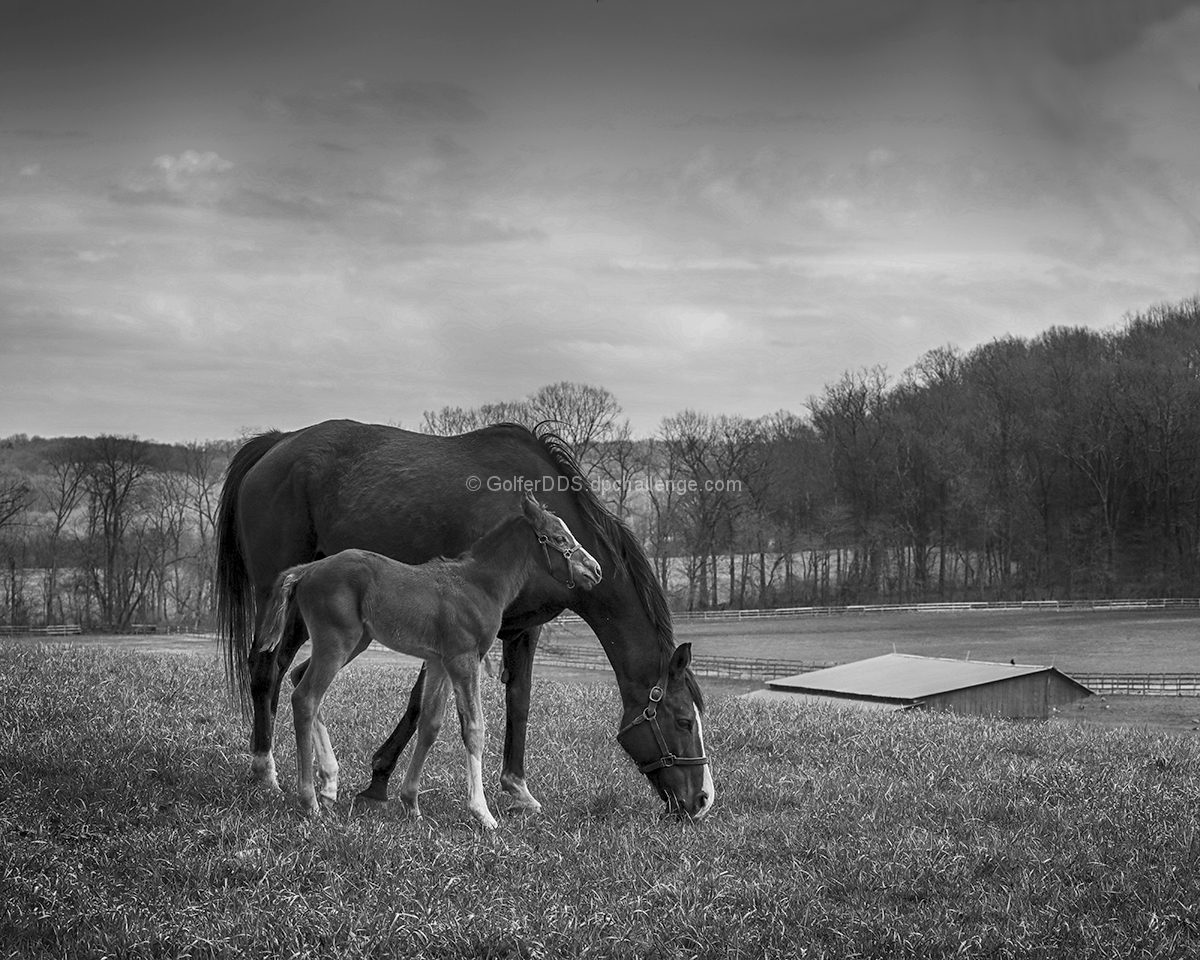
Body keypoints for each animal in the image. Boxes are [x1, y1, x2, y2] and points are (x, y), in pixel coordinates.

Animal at [216, 417, 710, 816]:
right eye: (684, 721)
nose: (702, 801)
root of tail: (277, 444)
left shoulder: (522, 628)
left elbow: (518, 702)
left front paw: (518, 789)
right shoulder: (454, 641)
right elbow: (422, 707)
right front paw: (379, 782)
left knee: (287, 675)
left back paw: (307, 774)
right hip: (278, 600)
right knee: (265, 670)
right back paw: (266, 770)